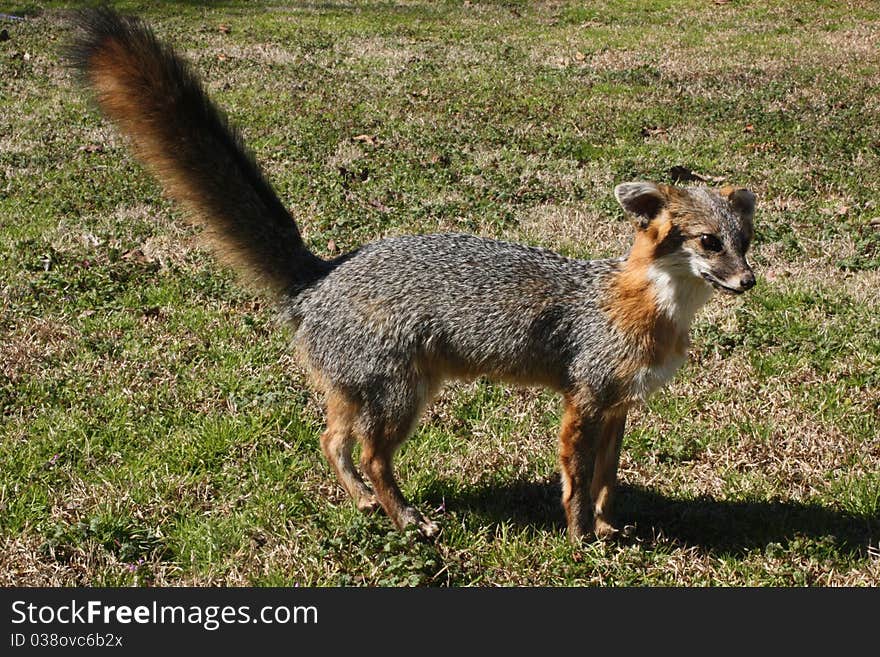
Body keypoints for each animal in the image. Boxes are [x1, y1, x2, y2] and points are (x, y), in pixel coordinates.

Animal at [72, 10, 752, 540]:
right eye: (708, 243)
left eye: (747, 244)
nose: (747, 282)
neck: (648, 306)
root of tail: (322, 275)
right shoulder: (583, 400)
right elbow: (577, 481)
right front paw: (582, 537)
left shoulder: (619, 406)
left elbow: (608, 480)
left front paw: (610, 528)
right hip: (401, 398)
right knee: (373, 456)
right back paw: (404, 517)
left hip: (364, 395)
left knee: (331, 441)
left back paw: (366, 504)